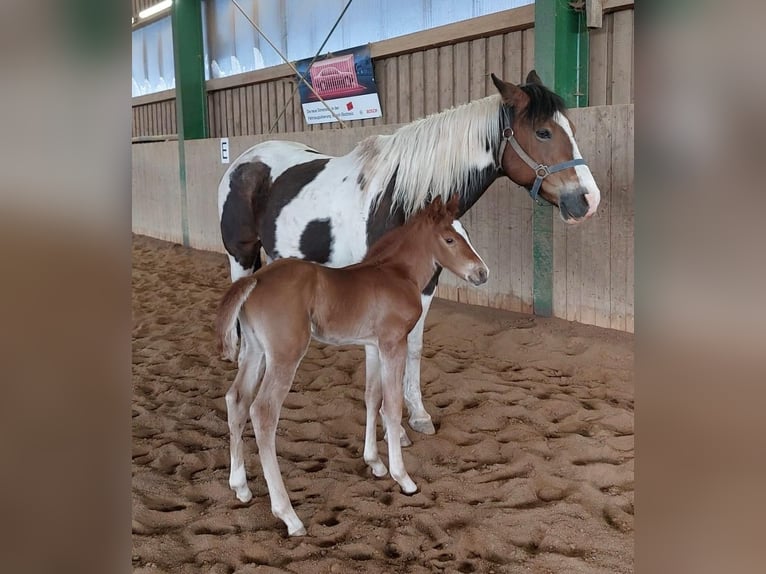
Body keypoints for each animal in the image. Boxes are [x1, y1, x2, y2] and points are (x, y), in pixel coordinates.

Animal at [216, 196, 489, 536]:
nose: (482, 273)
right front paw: (403, 478)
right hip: (285, 355)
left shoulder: (373, 346)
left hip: (255, 350)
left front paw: (375, 463)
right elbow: (392, 407)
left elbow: (372, 398)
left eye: (467, 234)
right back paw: (289, 515)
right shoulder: (393, 343)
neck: (396, 274)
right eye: (450, 239)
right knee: (263, 413)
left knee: (236, 399)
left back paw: (240, 487)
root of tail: (256, 278)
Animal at [218, 70, 601, 443]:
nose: (588, 200)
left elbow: (414, 346)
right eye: (543, 132)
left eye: (572, 128)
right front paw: (394, 429)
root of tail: (244, 160)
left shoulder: (425, 285)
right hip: (242, 257)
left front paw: (417, 415)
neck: (398, 198)